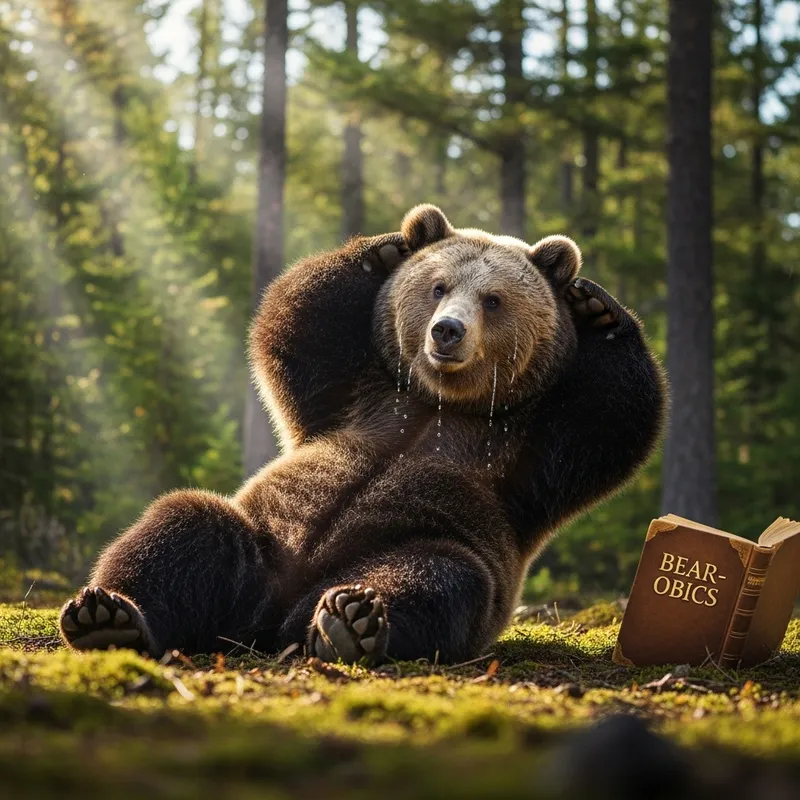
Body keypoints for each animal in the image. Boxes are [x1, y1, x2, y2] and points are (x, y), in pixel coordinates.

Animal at [58, 204, 667, 666]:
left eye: (493, 299)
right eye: (439, 285)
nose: (447, 332)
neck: (440, 402)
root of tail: (268, 618)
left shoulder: (525, 452)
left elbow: (615, 424)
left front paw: (597, 308)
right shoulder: (356, 392)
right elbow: (295, 324)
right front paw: (387, 249)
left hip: (420, 540)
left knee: (441, 579)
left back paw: (349, 623)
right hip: (262, 536)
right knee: (184, 527)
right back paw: (107, 616)